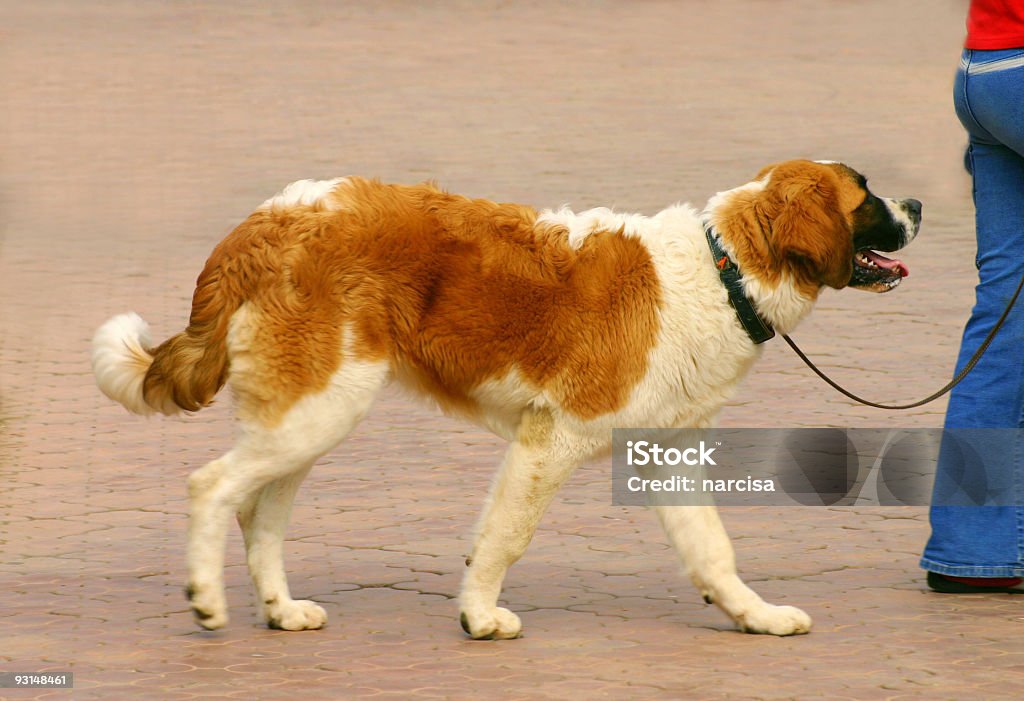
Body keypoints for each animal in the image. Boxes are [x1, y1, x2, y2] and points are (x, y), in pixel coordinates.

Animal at [94, 159, 921, 638]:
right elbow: (506, 533)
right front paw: (479, 613)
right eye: (865, 196)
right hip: (317, 408)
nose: (916, 202)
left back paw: (280, 609)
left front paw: (755, 614)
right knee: (211, 485)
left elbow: (712, 549)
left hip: (311, 413)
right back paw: (206, 598)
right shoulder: (550, 439)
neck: (726, 270)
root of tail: (266, 220)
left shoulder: (665, 454)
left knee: (259, 510)